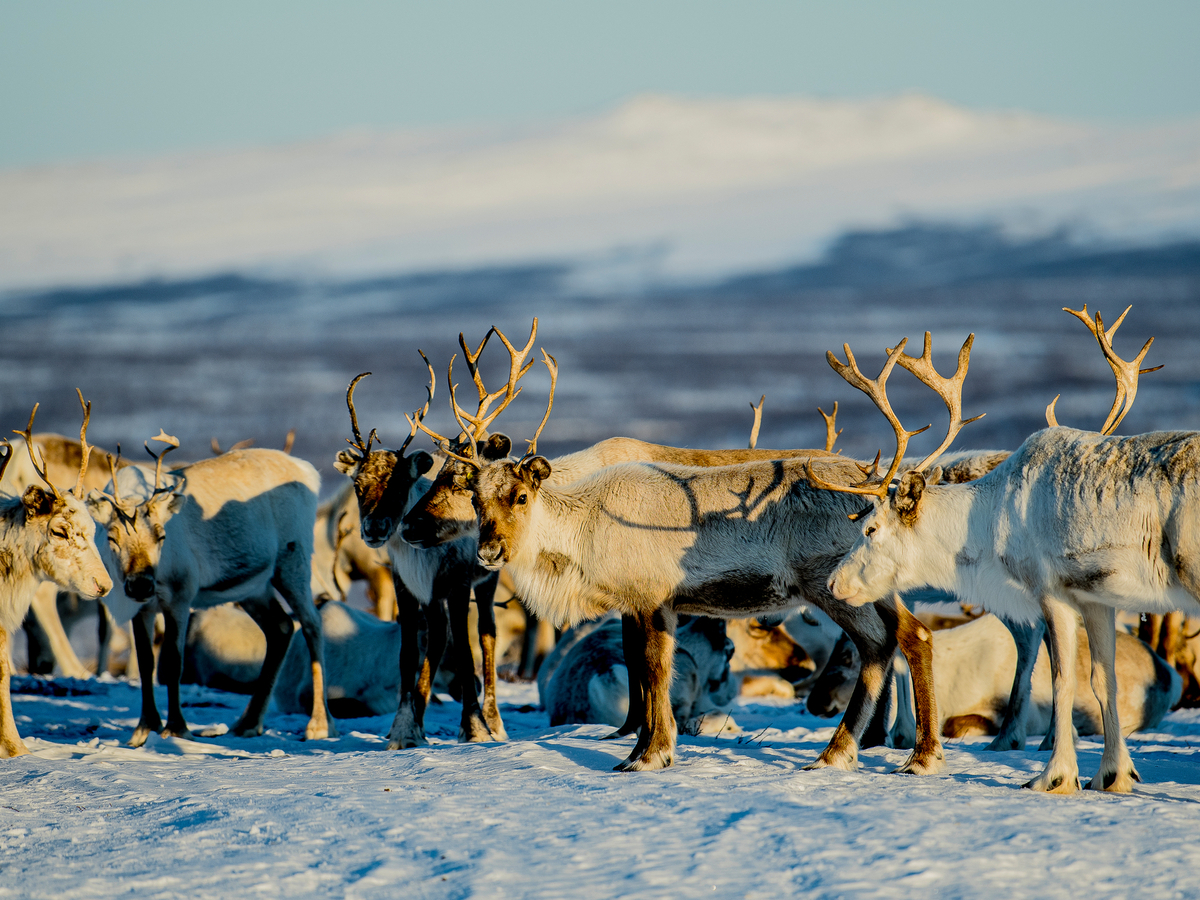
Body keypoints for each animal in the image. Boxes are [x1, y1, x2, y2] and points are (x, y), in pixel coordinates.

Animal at [88, 433, 335, 746]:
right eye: (112, 537)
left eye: (161, 535)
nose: (142, 583)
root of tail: (308, 471)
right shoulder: (141, 608)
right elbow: (145, 663)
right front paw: (144, 729)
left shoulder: (179, 596)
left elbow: (173, 661)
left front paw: (176, 728)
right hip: (254, 586)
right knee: (281, 627)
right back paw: (248, 723)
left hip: (293, 562)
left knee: (312, 623)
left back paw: (319, 725)